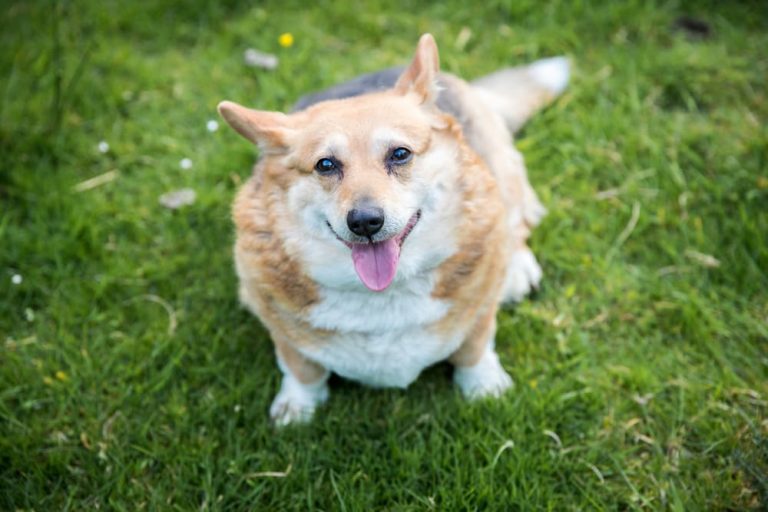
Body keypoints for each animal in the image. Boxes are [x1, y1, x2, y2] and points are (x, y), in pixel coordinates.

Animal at [219, 33, 568, 424]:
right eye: (325, 165)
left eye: (399, 154)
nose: (365, 222)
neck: (385, 293)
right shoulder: (278, 325)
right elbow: (301, 368)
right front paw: (298, 406)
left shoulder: (479, 312)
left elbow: (474, 348)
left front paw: (484, 387)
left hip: (501, 167)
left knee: (516, 218)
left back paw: (517, 267)